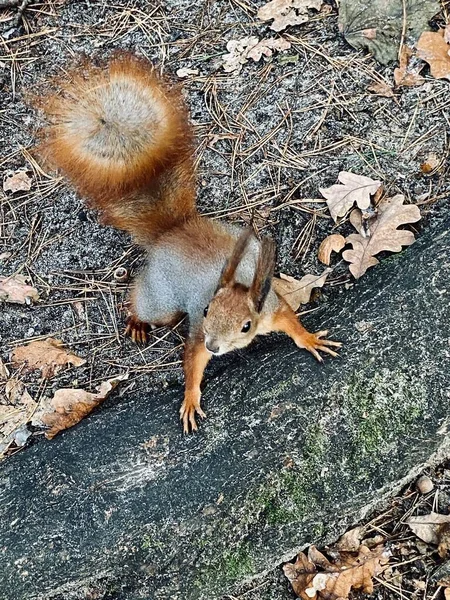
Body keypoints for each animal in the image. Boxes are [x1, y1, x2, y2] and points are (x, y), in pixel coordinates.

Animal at [37, 54, 342, 434]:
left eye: (246, 326)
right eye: (207, 310)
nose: (214, 345)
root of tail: (173, 232)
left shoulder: (271, 308)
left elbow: (292, 323)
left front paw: (311, 339)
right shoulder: (198, 328)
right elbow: (193, 361)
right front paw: (190, 398)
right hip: (161, 300)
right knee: (140, 301)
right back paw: (137, 323)